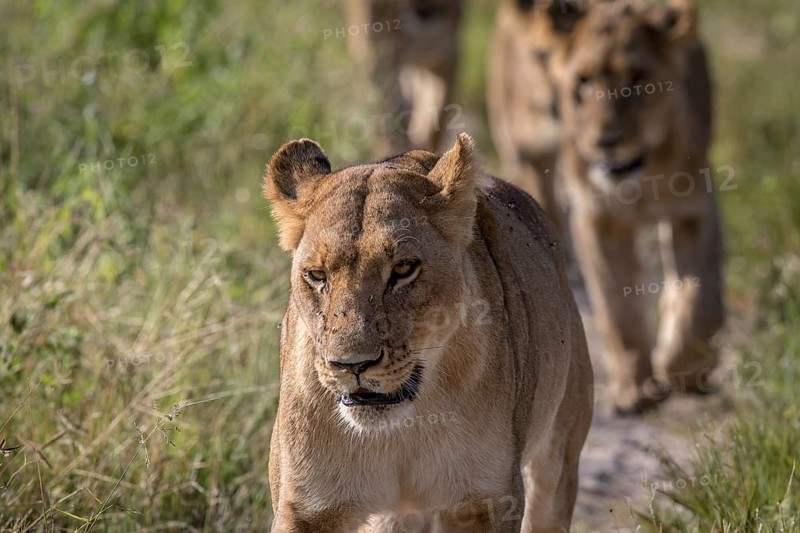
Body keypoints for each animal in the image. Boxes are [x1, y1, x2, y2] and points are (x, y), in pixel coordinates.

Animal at [263, 133, 593, 532]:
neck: (402, 430)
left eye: (404, 269)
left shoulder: (489, 499)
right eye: (316, 275)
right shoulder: (306, 506)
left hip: (560, 455)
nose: (351, 365)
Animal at [547, 0, 724, 414]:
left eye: (639, 78)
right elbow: (618, 304)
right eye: (583, 81)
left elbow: (699, 295)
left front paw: (683, 369)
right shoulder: (597, 217)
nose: (606, 141)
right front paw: (635, 387)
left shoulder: (694, 210)